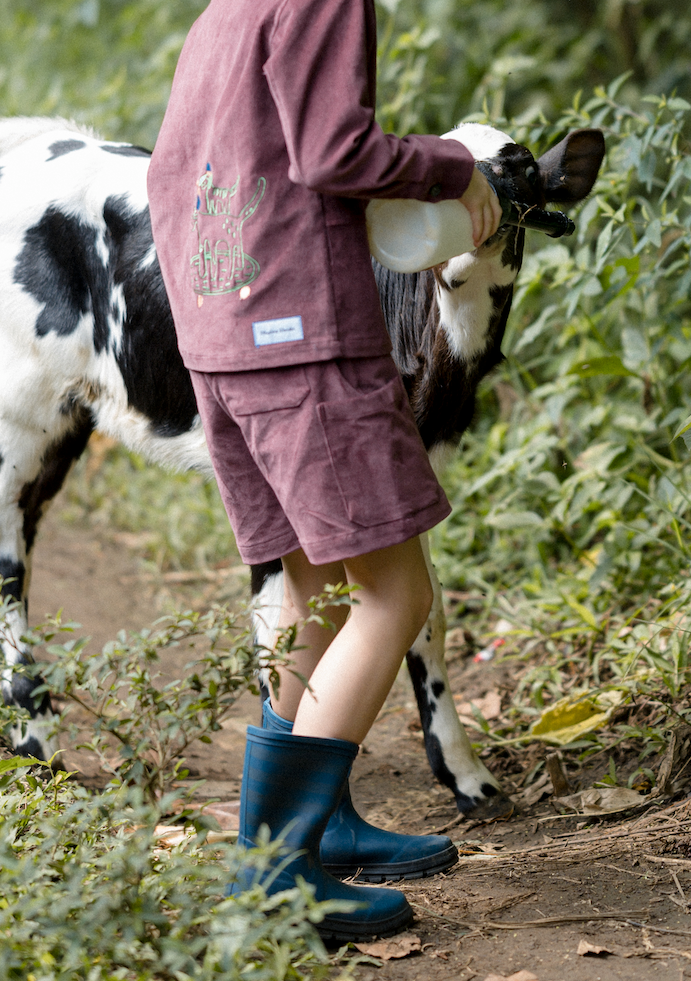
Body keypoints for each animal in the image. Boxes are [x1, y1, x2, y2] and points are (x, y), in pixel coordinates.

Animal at [0, 117, 604, 820]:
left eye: (523, 169)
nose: (452, 245)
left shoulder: (408, 475)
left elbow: (425, 615)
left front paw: (468, 778)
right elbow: (284, 634)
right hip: (19, 420)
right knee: (9, 572)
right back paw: (38, 749)